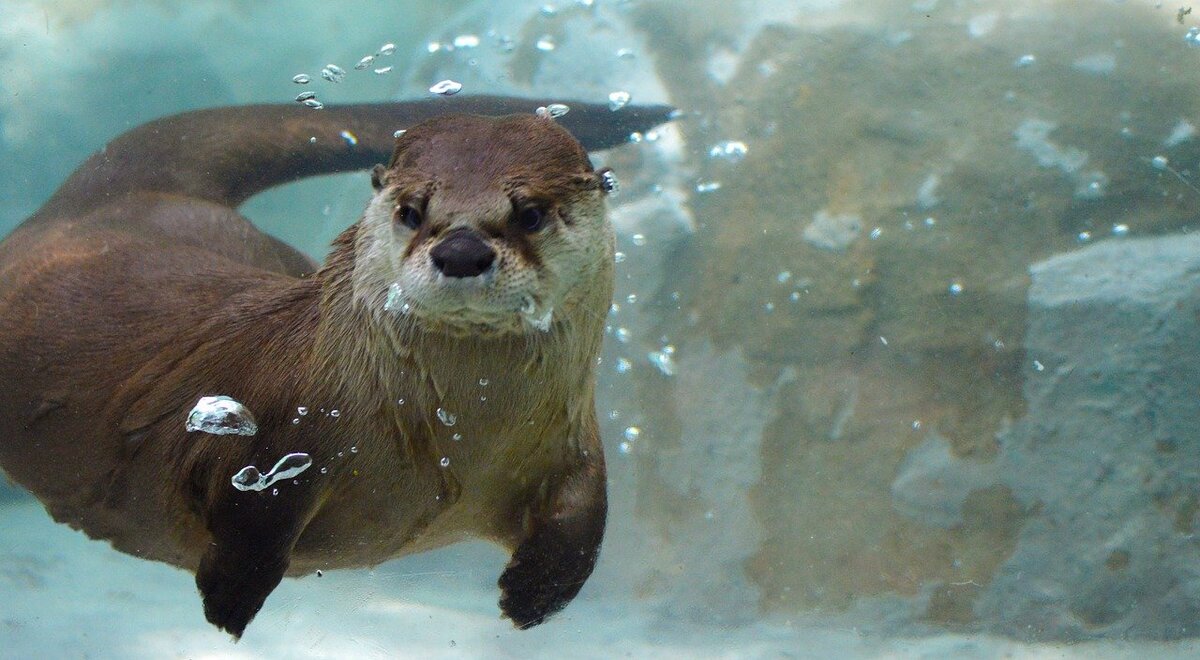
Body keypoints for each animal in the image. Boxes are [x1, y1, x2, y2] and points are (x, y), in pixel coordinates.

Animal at [0, 96, 676, 638]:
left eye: (530, 213)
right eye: (411, 210)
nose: (461, 250)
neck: (457, 440)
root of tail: (103, 204)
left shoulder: (570, 440)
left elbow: (585, 517)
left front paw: (533, 595)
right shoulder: (272, 431)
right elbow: (250, 517)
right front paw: (230, 599)